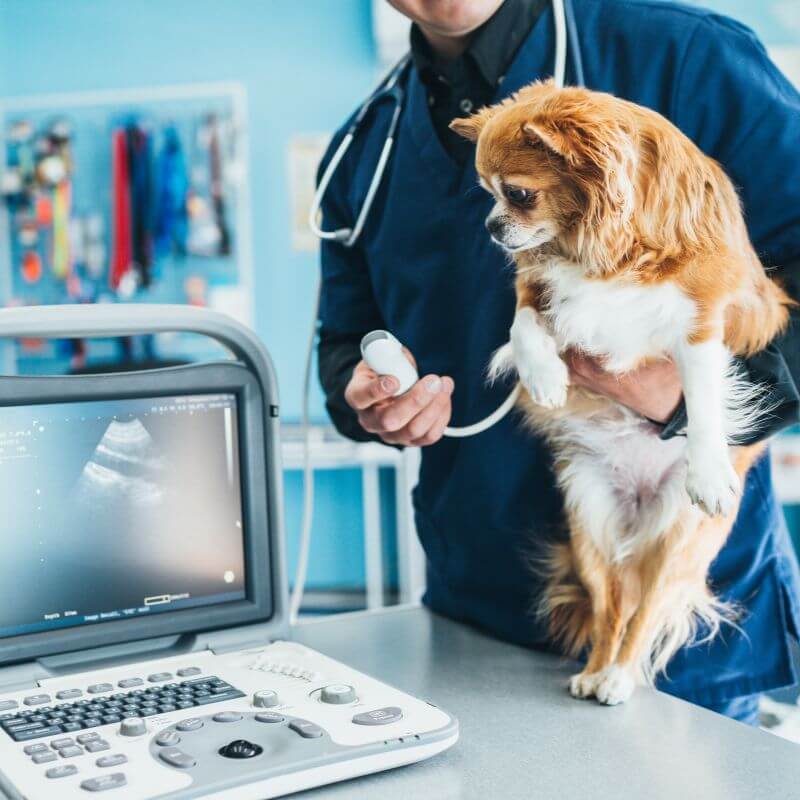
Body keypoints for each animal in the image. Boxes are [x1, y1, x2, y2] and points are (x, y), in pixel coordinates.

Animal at [450, 83, 792, 708]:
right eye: (487, 194)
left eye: (518, 194)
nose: (490, 226)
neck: (606, 251)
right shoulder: (539, 285)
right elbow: (523, 322)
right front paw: (545, 376)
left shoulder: (701, 320)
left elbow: (702, 396)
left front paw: (709, 470)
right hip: (590, 529)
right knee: (612, 607)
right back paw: (595, 670)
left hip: (676, 541)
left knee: (643, 612)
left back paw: (618, 676)